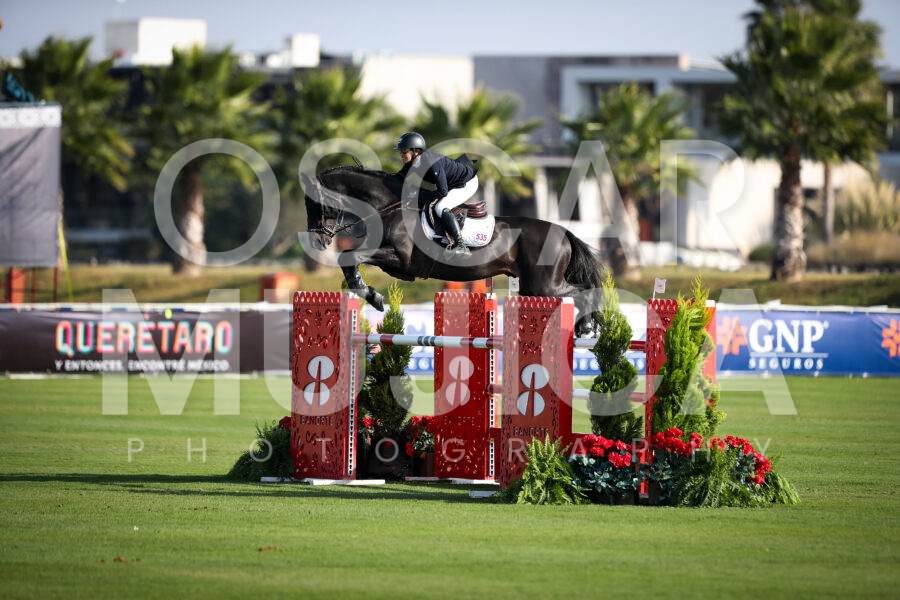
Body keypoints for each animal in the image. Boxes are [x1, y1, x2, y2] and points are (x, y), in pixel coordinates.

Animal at [300, 165, 604, 335]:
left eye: (315, 204)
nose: (318, 243)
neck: (390, 205)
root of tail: (563, 232)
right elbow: (350, 258)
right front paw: (367, 292)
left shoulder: (401, 259)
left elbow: (351, 256)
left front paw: (371, 295)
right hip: (533, 287)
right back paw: (586, 325)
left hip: (544, 285)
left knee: (585, 290)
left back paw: (587, 327)